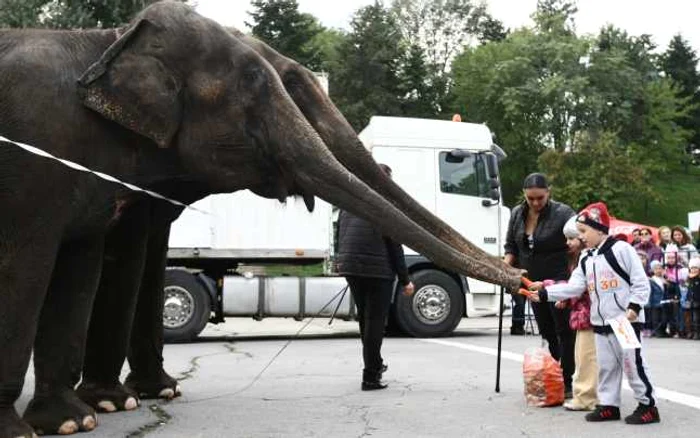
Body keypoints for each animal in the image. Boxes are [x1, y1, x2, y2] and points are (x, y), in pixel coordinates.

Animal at [0, 1, 524, 436]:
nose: (523, 279)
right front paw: (79, 416)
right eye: (256, 81)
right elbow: (30, 262)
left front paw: (95, 412)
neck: (103, 42)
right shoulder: (34, 166)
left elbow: (89, 263)